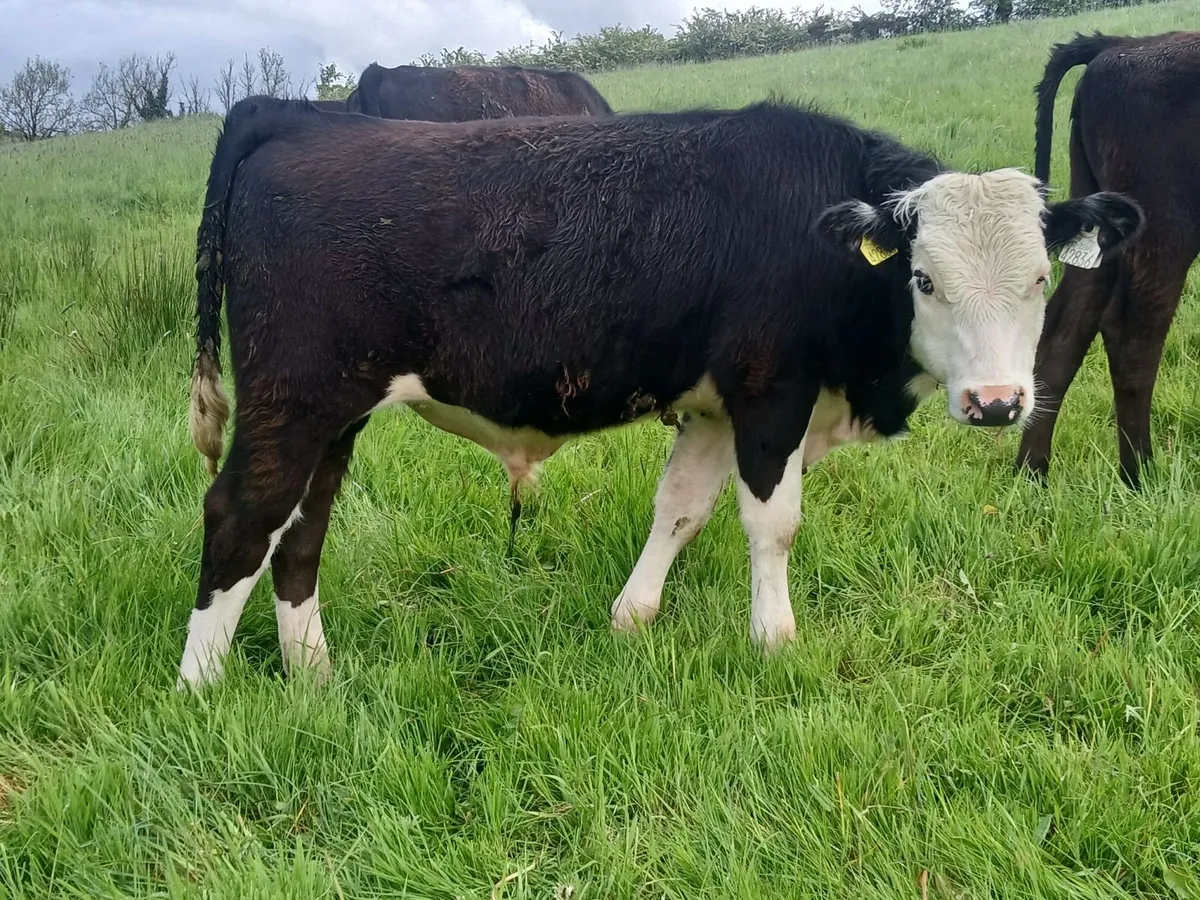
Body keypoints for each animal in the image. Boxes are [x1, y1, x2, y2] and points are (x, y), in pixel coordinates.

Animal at [176, 94, 1143, 689]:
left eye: (1038, 280)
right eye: (925, 280)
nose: (997, 403)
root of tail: (297, 118)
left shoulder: (714, 406)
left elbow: (678, 508)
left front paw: (630, 619)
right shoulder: (771, 394)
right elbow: (772, 522)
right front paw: (774, 641)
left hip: (331, 416)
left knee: (300, 531)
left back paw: (314, 678)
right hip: (295, 399)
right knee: (241, 517)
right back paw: (203, 689)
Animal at [1015, 30, 1199, 488]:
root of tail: (1120, 44)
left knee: (1068, 327)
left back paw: (1031, 471)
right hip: (1165, 227)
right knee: (1132, 335)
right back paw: (1139, 474)